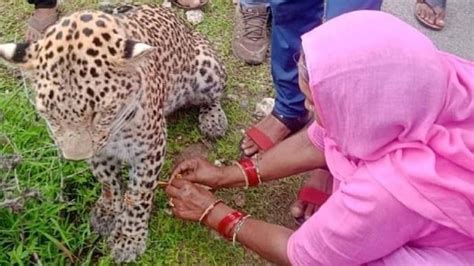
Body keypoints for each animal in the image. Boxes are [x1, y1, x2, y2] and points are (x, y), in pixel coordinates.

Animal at [0, 3, 228, 262]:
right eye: (50, 115)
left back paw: (214, 120)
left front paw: (130, 239)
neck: (116, 129)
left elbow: (139, 196)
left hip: (207, 68)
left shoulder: (150, 150)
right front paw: (108, 211)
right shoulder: (99, 151)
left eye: (100, 112)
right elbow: (108, 181)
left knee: (214, 96)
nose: (75, 158)